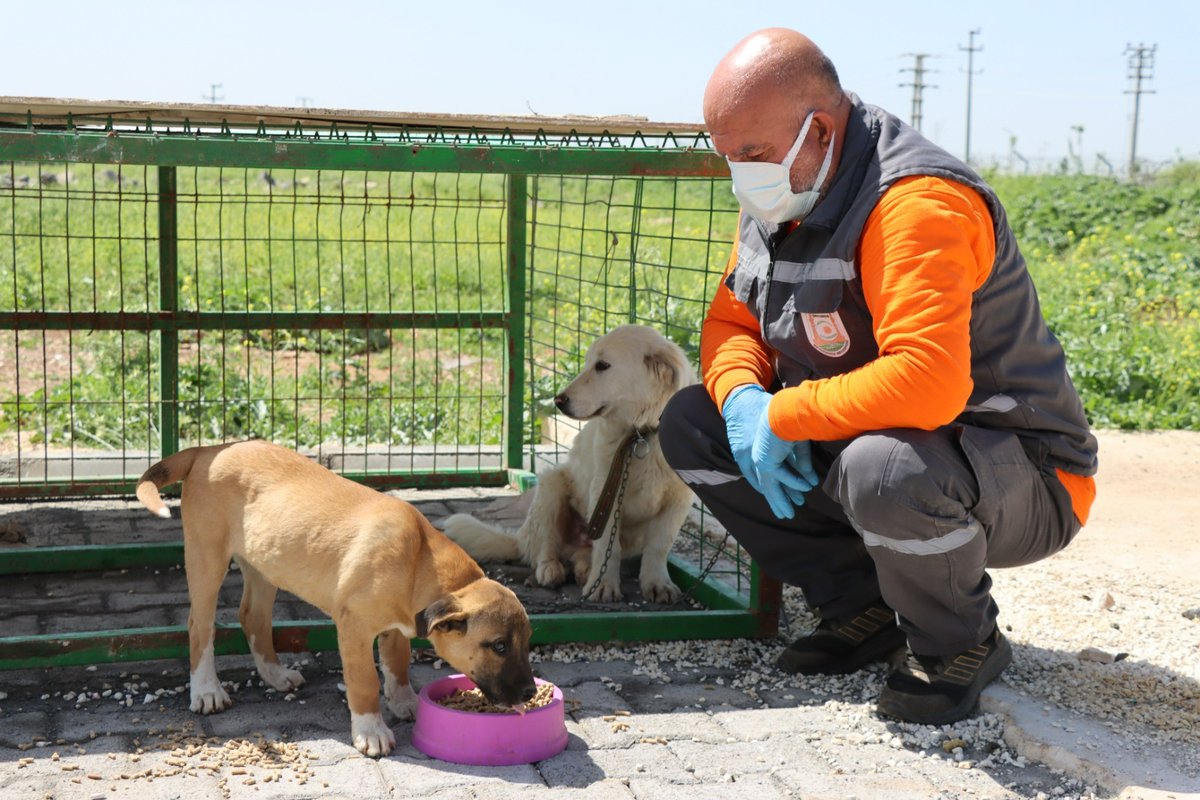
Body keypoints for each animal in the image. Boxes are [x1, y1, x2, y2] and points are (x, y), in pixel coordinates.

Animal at [133, 441, 537, 762]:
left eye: (525, 643)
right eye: (499, 646)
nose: (531, 692)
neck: (418, 559)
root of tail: (207, 449)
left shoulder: (396, 626)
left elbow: (397, 665)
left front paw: (404, 701)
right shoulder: (354, 627)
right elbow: (364, 681)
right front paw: (372, 731)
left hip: (264, 564)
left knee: (252, 617)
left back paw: (276, 675)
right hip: (207, 555)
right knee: (200, 625)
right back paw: (206, 691)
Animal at [444, 323, 696, 599]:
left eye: (602, 365)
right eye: (588, 363)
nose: (558, 401)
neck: (642, 434)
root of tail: (521, 538)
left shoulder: (679, 500)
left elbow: (658, 546)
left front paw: (658, 584)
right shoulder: (606, 490)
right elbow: (608, 546)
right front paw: (604, 585)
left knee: (581, 554)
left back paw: (584, 569)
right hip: (551, 487)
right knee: (545, 548)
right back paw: (551, 570)